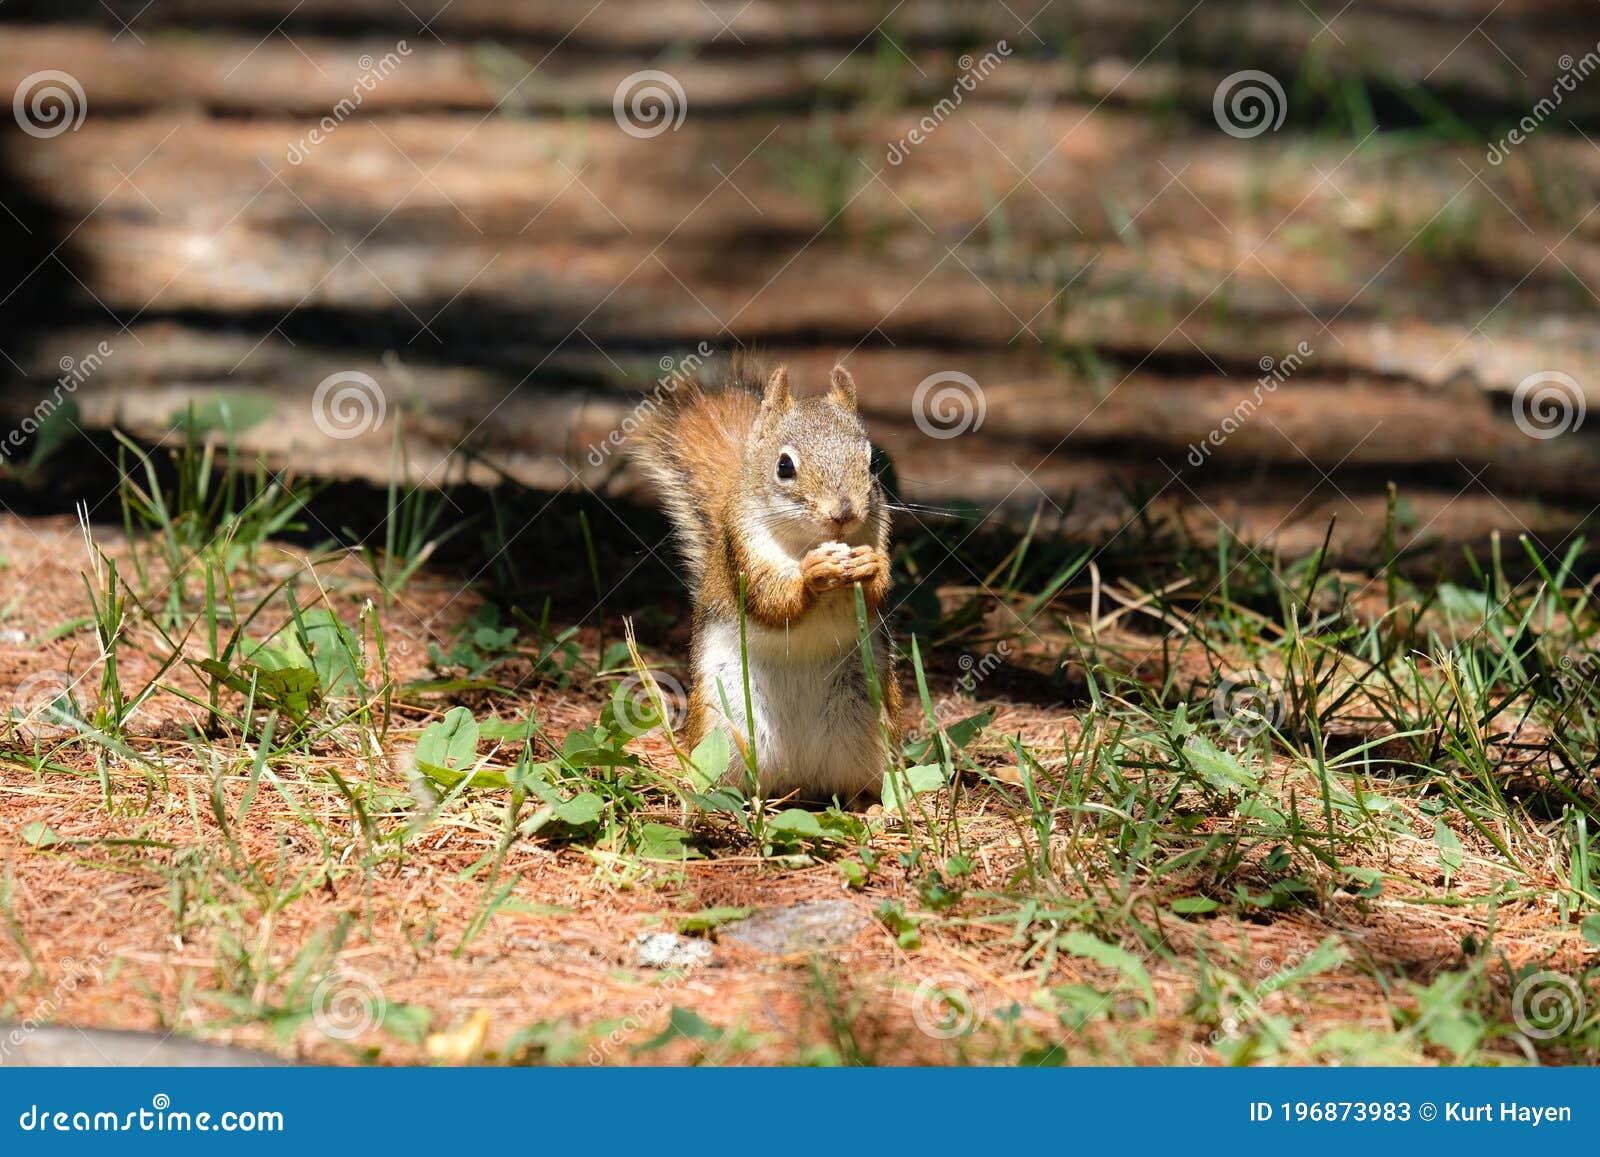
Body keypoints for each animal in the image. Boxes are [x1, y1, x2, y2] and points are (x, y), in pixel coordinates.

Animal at [627, 360, 902, 806]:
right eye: (784, 466)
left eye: (873, 464)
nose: (843, 513)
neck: (806, 542)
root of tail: (801, 775)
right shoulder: (744, 551)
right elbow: (771, 601)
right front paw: (812, 576)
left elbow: (876, 593)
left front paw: (869, 567)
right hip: (728, 724)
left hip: (869, 720)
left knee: (860, 785)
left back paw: (874, 808)